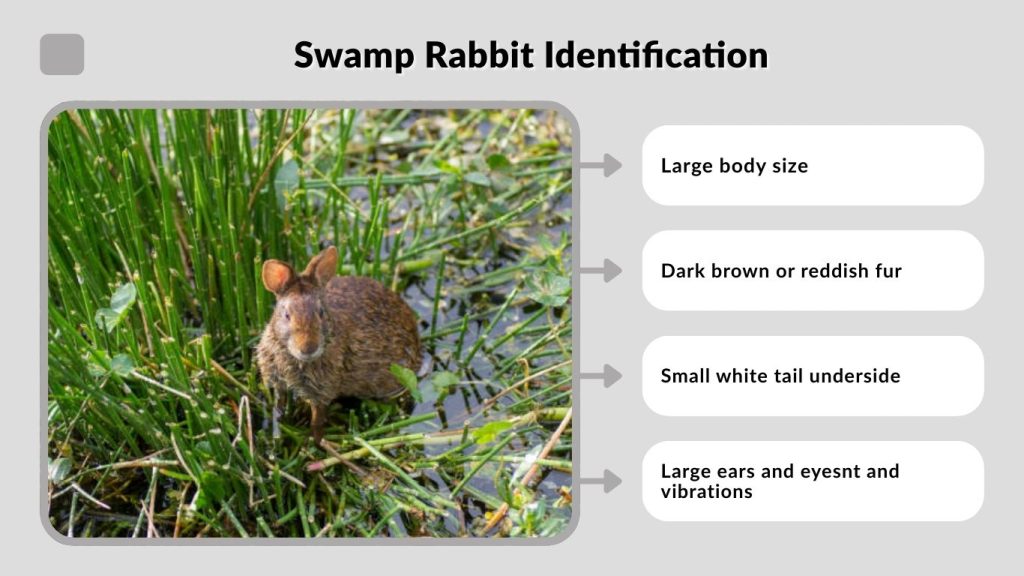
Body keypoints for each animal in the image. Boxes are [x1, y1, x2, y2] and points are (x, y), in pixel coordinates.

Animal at [256, 245, 421, 445]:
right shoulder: (277, 382)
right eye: (287, 315)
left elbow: (317, 419)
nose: (308, 348)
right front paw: (276, 430)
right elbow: (278, 406)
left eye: (321, 312)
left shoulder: (322, 391)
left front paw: (316, 441)